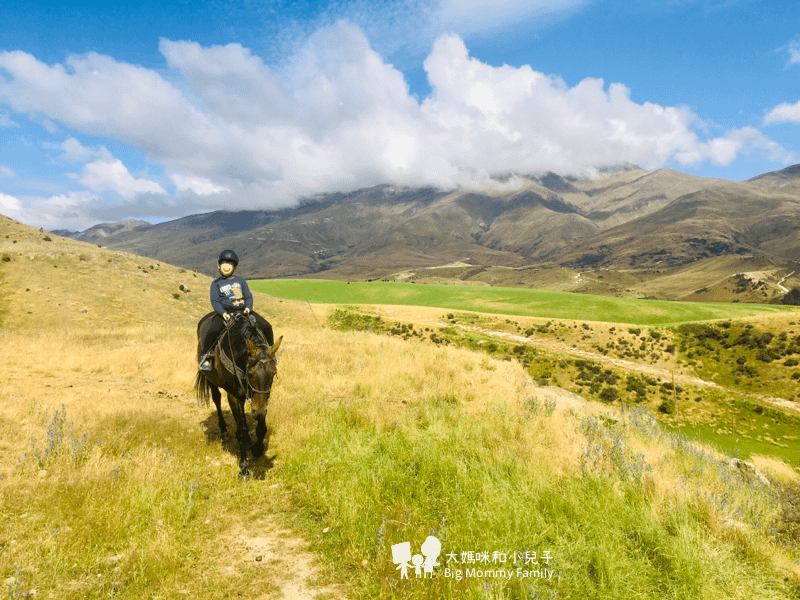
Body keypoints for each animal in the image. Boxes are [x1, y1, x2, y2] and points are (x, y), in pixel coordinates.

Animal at [194, 314, 282, 478]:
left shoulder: (262, 399)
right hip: (211, 381)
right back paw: (224, 431)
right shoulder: (233, 397)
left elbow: (261, 426)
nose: (257, 412)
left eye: (273, 373)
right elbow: (241, 432)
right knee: (217, 399)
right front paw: (244, 468)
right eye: (251, 373)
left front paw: (257, 449)